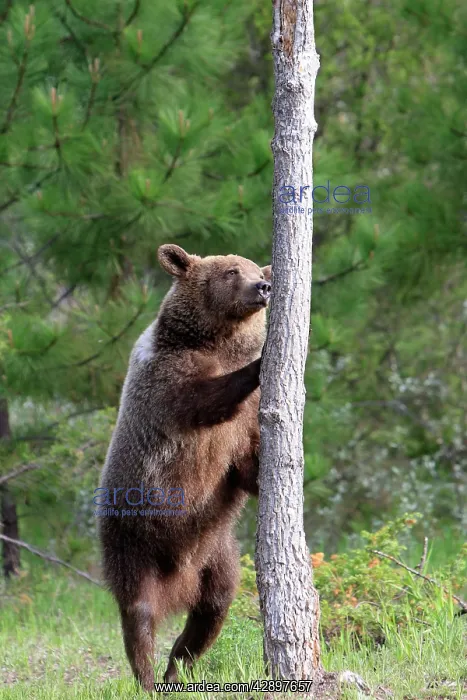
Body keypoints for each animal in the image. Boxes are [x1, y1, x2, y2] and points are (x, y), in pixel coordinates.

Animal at [98, 244, 271, 692]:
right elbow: (203, 398)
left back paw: (177, 666)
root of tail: (179, 581)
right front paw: (259, 364)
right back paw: (146, 678)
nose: (262, 287)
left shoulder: (241, 433)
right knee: (138, 613)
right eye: (231, 271)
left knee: (212, 610)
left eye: (256, 269)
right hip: (132, 539)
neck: (215, 343)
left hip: (216, 550)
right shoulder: (166, 379)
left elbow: (245, 467)